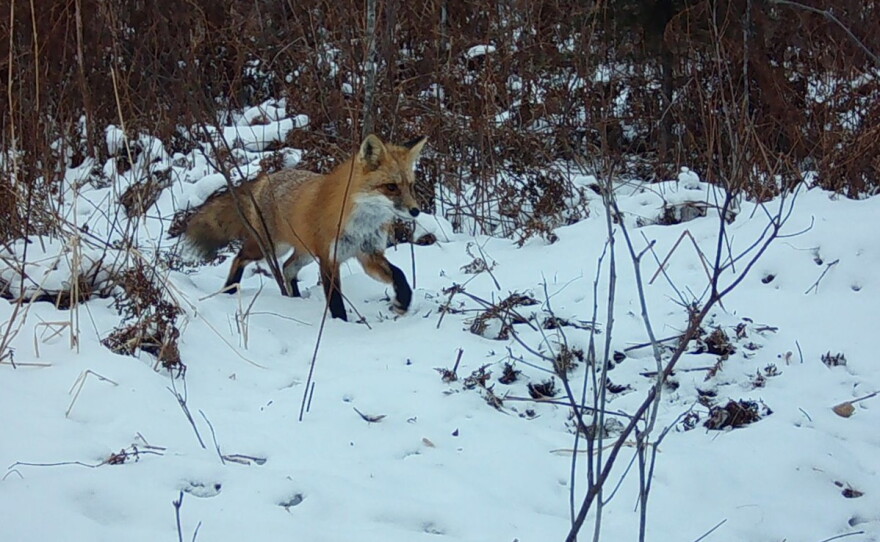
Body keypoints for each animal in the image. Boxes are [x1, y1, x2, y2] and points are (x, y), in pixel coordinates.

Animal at [176, 134, 427, 321]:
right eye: (391, 187)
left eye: (411, 186)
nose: (416, 211)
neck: (361, 224)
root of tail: (267, 177)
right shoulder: (329, 259)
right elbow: (335, 301)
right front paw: (342, 325)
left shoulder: (369, 255)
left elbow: (399, 273)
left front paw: (403, 301)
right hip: (270, 248)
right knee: (240, 258)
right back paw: (229, 289)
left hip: (304, 252)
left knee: (287, 268)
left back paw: (293, 300)